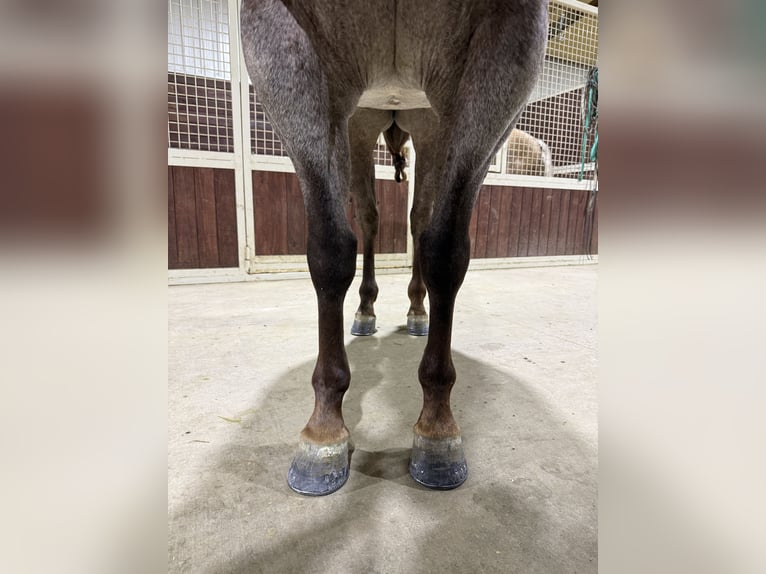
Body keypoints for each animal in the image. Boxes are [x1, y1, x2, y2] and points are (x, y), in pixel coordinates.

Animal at [241, 0, 548, 495]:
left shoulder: (505, 52)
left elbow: (445, 252)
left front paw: (437, 428)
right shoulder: (281, 45)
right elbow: (330, 252)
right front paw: (324, 431)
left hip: (429, 123)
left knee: (419, 218)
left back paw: (418, 311)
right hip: (360, 123)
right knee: (368, 216)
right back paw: (365, 311)